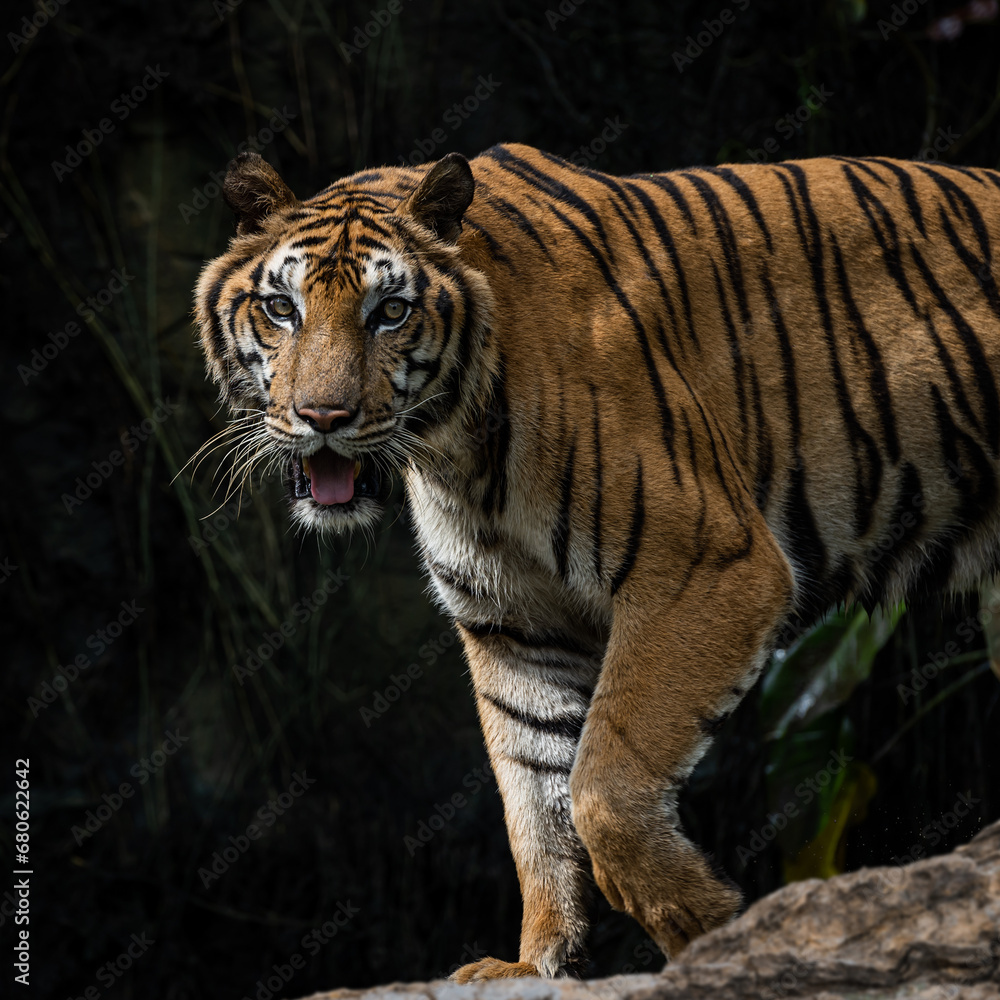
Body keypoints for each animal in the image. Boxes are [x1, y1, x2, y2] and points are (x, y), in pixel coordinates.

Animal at [195, 142, 1000, 981]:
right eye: (281, 309)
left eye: (391, 312)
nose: (323, 417)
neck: (456, 452)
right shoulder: (515, 624)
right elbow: (533, 796)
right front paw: (536, 960)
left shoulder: (711, 563)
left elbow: (602, 786)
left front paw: (711, 932)